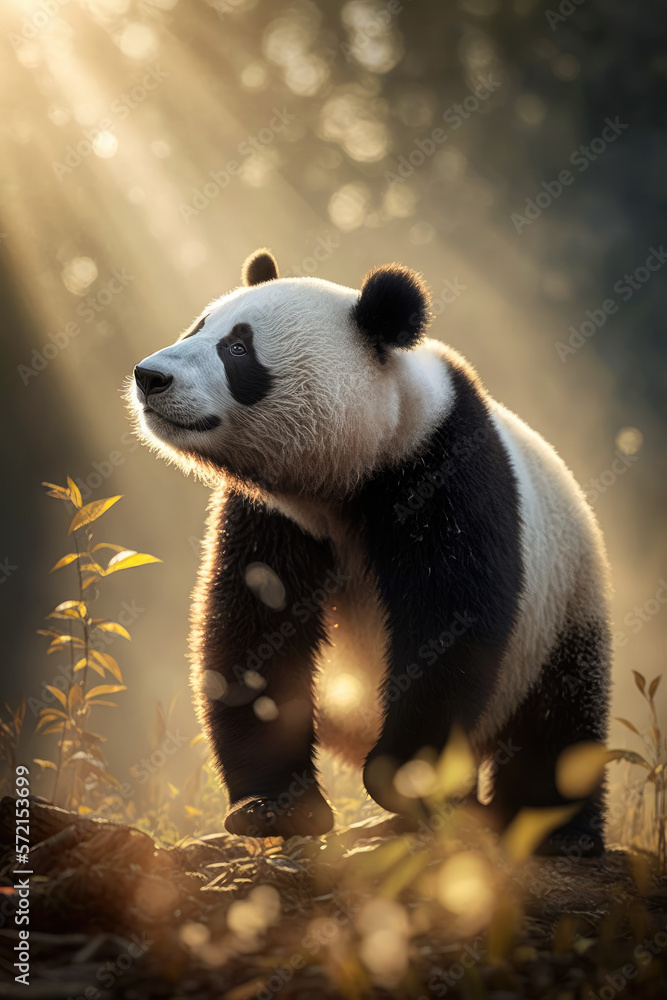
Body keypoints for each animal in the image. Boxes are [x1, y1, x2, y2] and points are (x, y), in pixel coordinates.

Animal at [129, 248, 611, 852]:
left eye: (238, 348)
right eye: (196, 327)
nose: (150, 376)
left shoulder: (444, 470)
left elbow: (449, 621)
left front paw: (402, 777)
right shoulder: (274, 514)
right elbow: (254, 628)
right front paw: (274, 808)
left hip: (562, 602)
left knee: (561, 717)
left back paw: (554, 828)